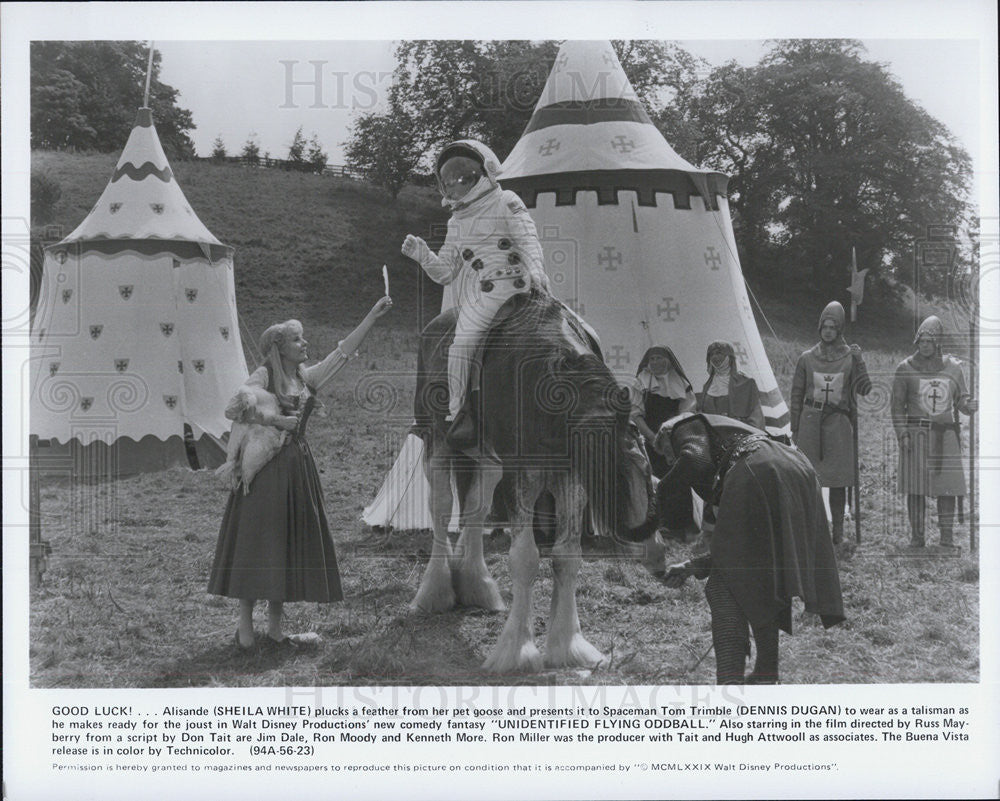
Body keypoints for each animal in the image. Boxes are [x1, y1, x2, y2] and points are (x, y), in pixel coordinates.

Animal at [410, 290, 660, 672]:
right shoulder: (523, 475)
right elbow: (525, 558)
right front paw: (516, 650)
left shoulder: (566, 478)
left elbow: (567, 556)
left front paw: (568, 645)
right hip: (437, 441)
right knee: (441, 509)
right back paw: (434, 592)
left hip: (487, 462)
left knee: (476, 509)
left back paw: (477, 585)